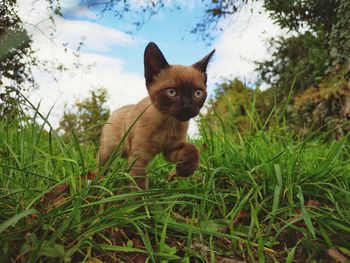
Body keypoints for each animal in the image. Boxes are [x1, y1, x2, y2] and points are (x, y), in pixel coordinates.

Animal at [97, 42, 215, 190]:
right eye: (171, 92)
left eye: (198, 93)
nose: (187, 106)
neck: (168, 123)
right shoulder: (139, 159)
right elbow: (139, 188)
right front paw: (145, 197)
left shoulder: (171, 149)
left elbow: (193, 149)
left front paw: (184, 170)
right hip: (109, 152)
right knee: (102, 166)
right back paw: (98, 184)